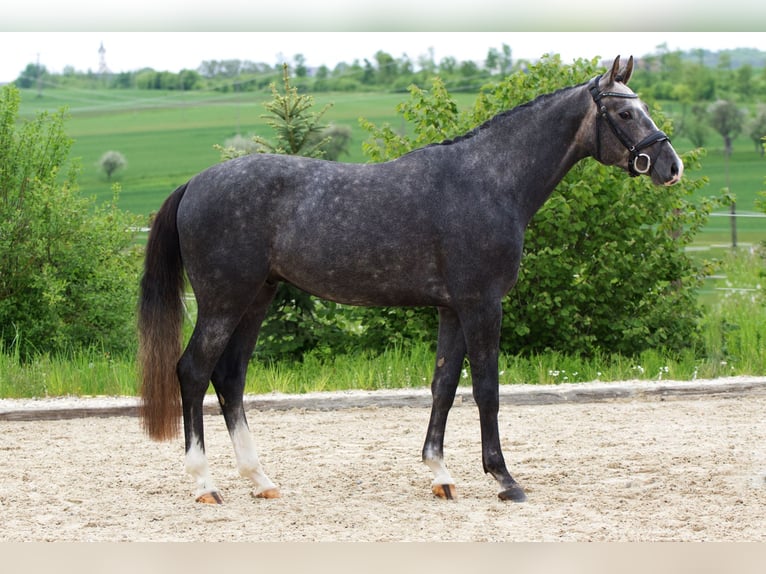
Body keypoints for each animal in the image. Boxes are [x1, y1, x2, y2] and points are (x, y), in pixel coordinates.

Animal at [136, 54, 684, 504]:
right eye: (626, 114)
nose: (670, 166)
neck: (489, 181)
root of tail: (194, 184)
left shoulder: (452, 308)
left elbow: (443, 384)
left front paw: (440, 474)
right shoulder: (482, 304)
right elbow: (487, 388)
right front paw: (504, 479)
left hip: (257, 298)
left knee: (230, 377)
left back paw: (260, 479)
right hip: (224, 301)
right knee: (193, 372)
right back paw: (205, 484)